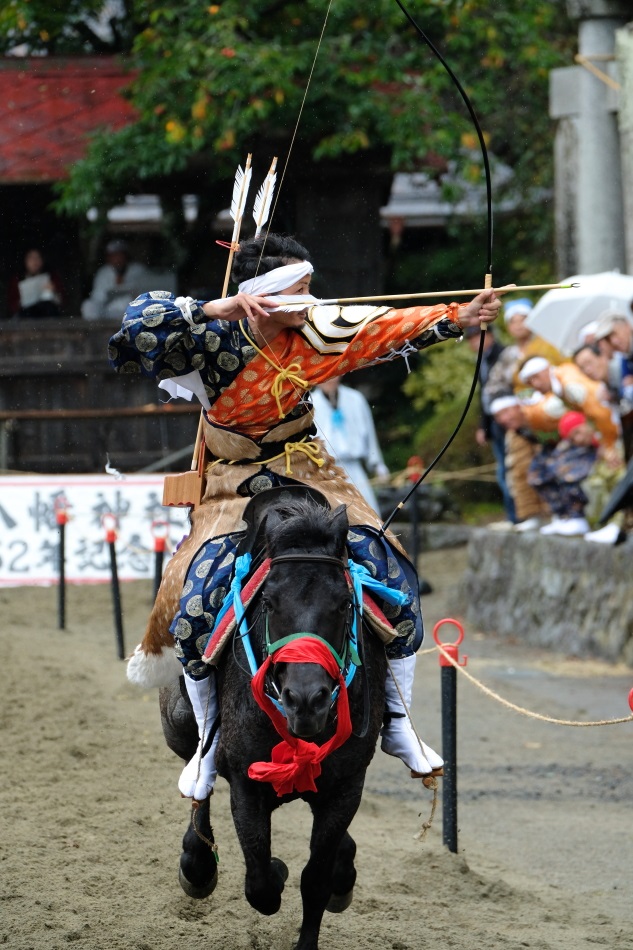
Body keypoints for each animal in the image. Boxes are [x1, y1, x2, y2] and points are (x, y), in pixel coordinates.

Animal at [159, 490, 386, 950]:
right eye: (269, 601)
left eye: (343, 603)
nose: (307, 699)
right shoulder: (247, 783)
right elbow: (260, 881)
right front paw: (276, 870)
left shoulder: (346, 785)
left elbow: (316, 879)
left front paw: (334, 880)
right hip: (178, 718)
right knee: (198, 776)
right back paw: (197, 864)